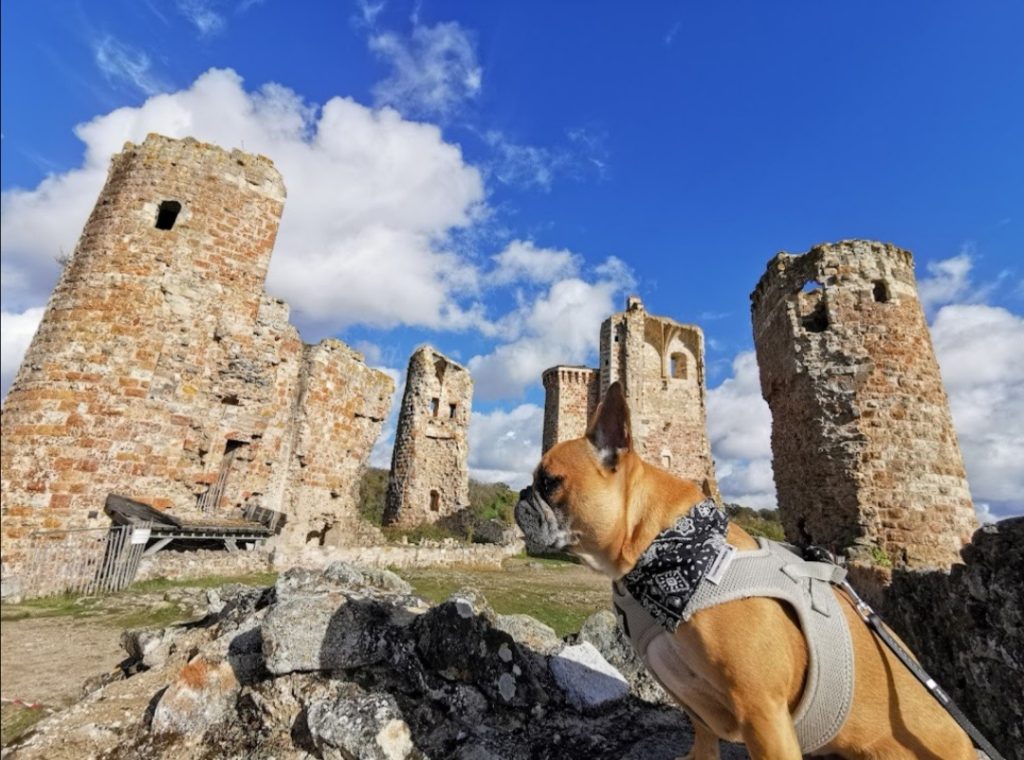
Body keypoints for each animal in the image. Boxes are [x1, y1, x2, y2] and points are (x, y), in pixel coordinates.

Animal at [516, 383, 970, 760]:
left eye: (550, 482)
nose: (521, 494)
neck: (663, 552)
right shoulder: (693, 698)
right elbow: (702, 733)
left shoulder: (762, 712)